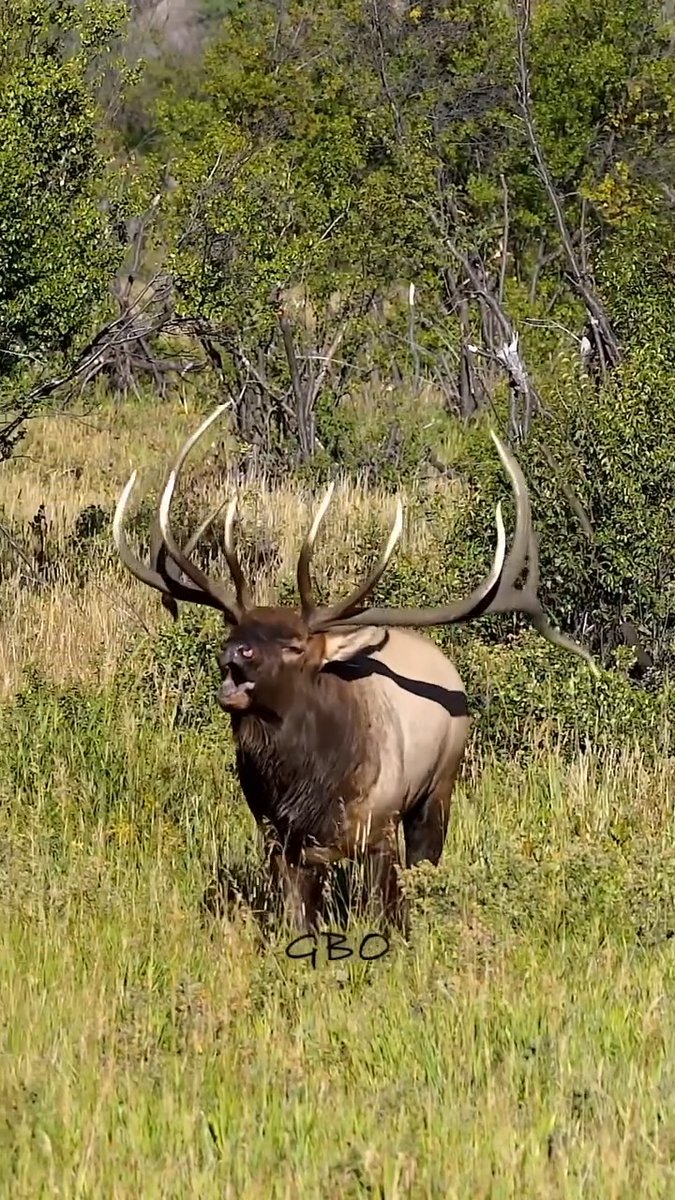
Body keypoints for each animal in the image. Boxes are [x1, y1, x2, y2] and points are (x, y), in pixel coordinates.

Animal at [112, 405, 598, 934]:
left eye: (294, 645)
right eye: (235, 629)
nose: (235, 655)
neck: (306, 786)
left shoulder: (378, 827)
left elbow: (387, 910)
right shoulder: (277, 835)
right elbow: (296, 917)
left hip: (439, 785)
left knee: (425, 858)